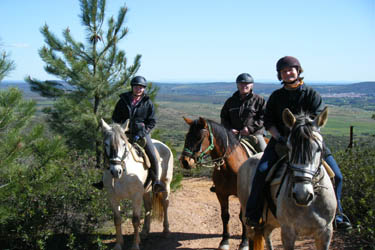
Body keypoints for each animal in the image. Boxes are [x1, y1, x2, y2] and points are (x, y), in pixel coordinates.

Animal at [180, 117, 251, 250]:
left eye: (199, 137)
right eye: (187, 136)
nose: (185, 162)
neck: (230, 168)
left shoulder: (242, 195)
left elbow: (242, 217)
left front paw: (244, 242)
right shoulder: (221, 194)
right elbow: (225, 216)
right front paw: (224, 241)